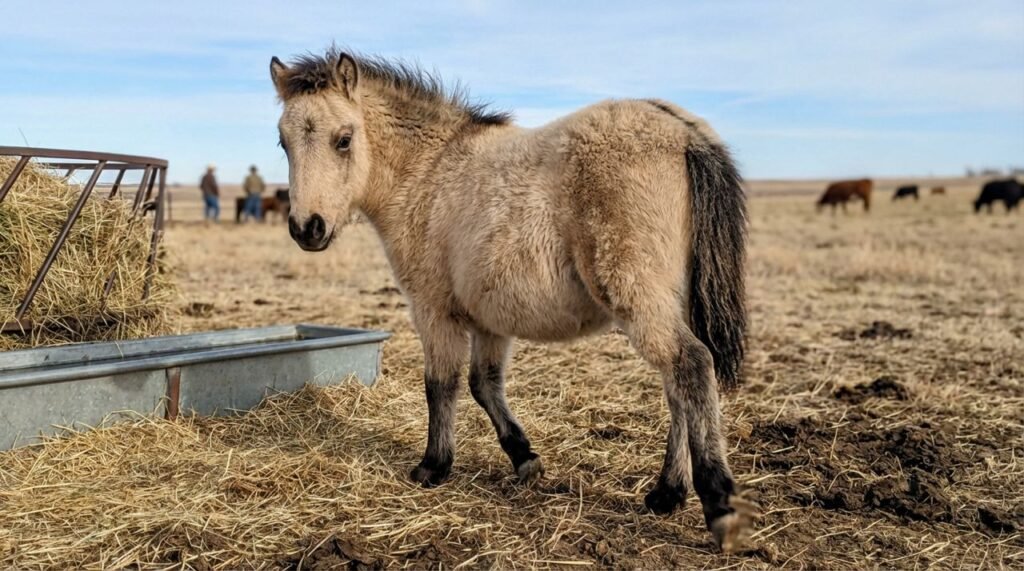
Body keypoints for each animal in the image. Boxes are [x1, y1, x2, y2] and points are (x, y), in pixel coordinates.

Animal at [270, 49, 755, 551]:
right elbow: (484, 384)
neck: (428, 172)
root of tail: (683, 131)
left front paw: (433, 466)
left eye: (343, 140)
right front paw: (524, 458)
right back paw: (666, 493)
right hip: (665, 302)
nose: (307, 228)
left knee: (691, 366)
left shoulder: (432, 309)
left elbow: (440, 384)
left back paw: (718, 503)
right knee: (678, 385)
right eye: (283, 142)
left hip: (637, 297)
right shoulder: (489, 320)